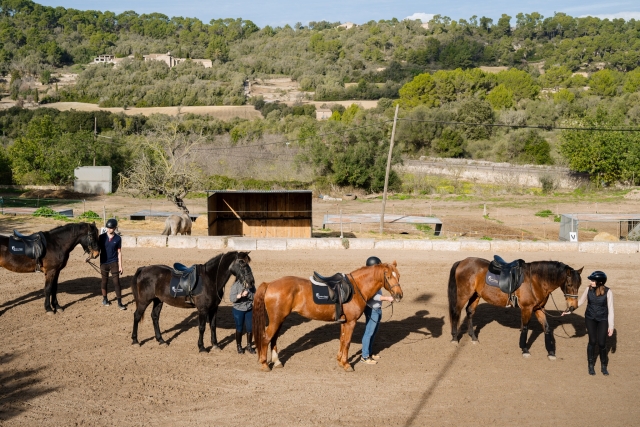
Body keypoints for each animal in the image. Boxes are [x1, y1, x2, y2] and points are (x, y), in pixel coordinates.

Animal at [253, 261, 404, 372]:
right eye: (388, 277)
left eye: (399, 276)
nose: (399, 295)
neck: (356, 288)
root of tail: (269, 284)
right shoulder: (351, 322)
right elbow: (347, 342)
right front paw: (347, 364)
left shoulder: (345, 322)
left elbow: (342, 340)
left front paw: (340, 361)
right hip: (276, 319)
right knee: (266, 338)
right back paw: (265, 364)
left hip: (280, 319)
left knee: (273, 339)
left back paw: (277, 361)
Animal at [447, 257, 583, 359]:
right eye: (569, 284)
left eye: (579, 284)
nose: (573, 306)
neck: (536, 281)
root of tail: (463, 261)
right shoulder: (527, 309)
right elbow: (525, 328)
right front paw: (524, 349)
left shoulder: (539, 309)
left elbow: (547, 327)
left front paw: (551, 352)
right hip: (463, 294)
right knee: (456, 312)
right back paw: (454, 338)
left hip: (476, 295)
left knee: (470, 312)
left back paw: (473, 337)